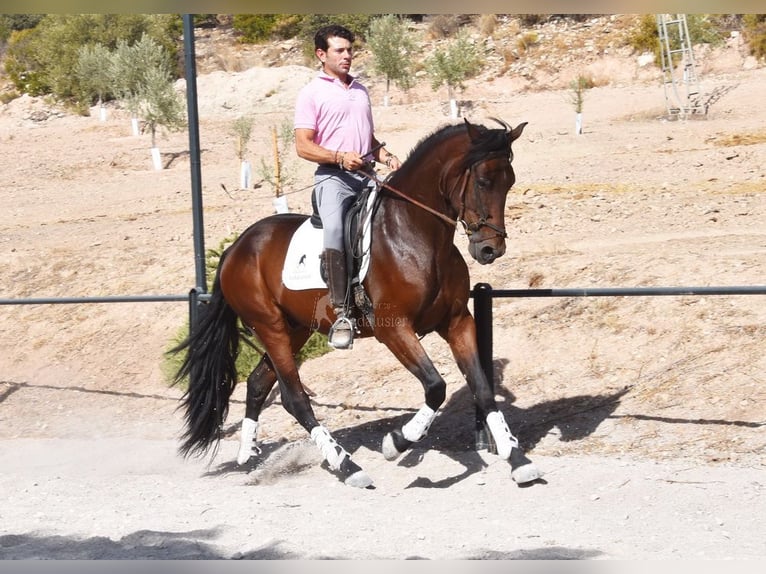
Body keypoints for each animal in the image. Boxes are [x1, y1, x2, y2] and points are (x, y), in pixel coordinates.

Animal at [171, 117, 541, 488]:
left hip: (296, 328)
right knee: (295, 398)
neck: (416, 233)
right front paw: (397, 442)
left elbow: (482, 388)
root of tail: (237, 247)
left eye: (509, 182)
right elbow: (436, 387)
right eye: (482, 181)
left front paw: (518, 459)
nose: (491, 249)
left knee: (259, 382)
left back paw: (248, 455)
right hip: (270, 326)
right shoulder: (393, 329)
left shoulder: (457, 322)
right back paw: (347, 465)